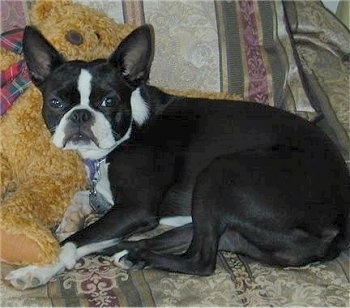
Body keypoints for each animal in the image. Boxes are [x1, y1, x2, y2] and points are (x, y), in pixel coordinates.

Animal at [6, 25, 350, 290]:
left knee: (202, 260)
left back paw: (134, 255)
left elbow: (75, 241)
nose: (80, 115)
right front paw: (70, 219)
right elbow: (83, 202)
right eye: (55, 102)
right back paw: (129, 253)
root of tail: (338, 224)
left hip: (219, 173)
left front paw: (40, 267)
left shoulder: (135, 209)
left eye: (108, 102)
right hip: (215, 220)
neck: (129, 131)